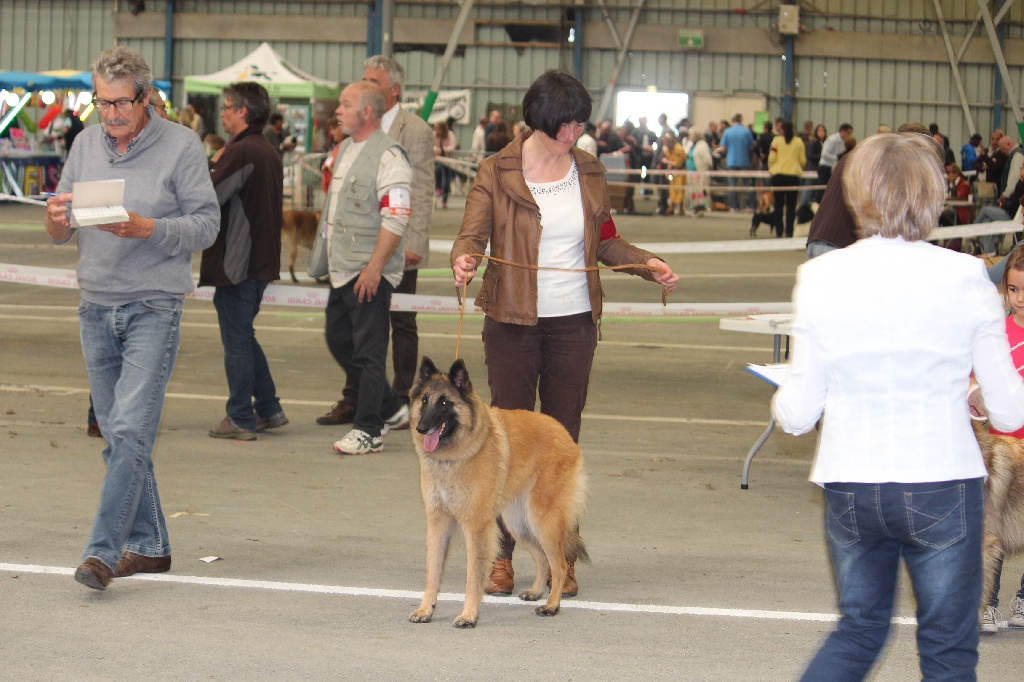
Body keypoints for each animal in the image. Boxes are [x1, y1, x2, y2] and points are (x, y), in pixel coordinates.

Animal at [405, 356, 589, 626]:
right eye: (424, 400)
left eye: (445, 402)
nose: (421, 427)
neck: (456, 455)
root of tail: (563, 432)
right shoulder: (438, 523)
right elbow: (433, 572)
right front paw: (426, 609)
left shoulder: (476, 526)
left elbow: (473, 575)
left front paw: (469, 615)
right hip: (519, 523)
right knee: (542, 558)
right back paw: (536, 592)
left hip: (543, 520)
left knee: (560, 564)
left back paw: (552, 605)